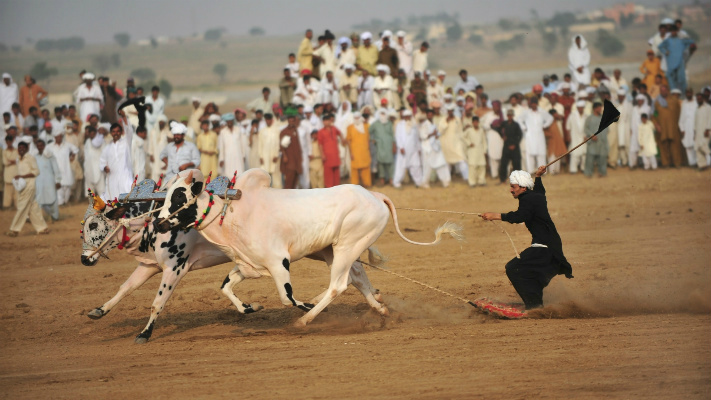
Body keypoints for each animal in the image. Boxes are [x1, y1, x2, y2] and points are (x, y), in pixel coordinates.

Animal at [80, 170, 386, 342]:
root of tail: (375, 196)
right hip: (330, 250)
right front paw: (98, 311)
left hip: (345, 247)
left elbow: (157, 303)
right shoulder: (151, 266)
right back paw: (379, 307)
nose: (84, 259)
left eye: (94, 225)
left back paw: (313, 315)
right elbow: (124, 289)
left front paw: (144, 334)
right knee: (356, 276)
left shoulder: (176, 268)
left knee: (340, 284)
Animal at [155, 169, 462, 328]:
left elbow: (287, 298)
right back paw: (380, 308)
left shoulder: (279, 264)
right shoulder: (247, 265)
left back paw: (307, 319)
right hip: (336, 252)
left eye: (179, 196)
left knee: (339, 285)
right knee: (358, 279)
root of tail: (373, 194)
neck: (234, 215)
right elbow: (226, 287)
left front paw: (305, 308)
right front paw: (251, 306)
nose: (158, 222)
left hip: (347, 247)